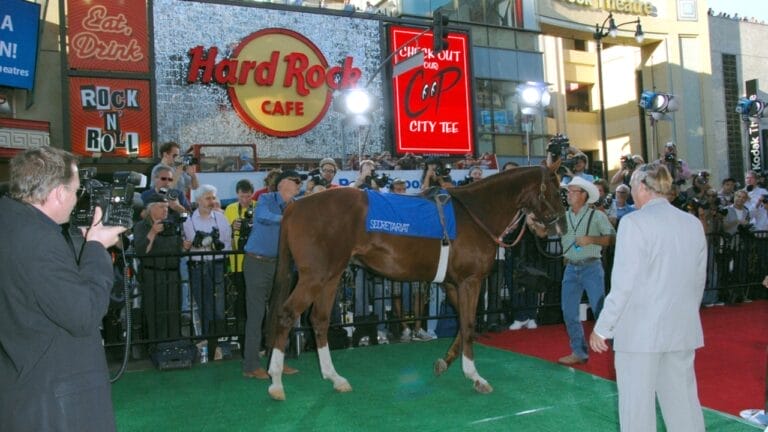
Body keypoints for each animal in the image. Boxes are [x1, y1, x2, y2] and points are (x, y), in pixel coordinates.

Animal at [265, 163, 566, 401]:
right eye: (555, 190)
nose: (560, 226)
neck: (476, 214)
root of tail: (295, 205)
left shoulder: (452, 283)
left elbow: (462, 323)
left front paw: (444, 363)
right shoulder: (470, 281)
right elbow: (469, 325)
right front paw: (475, 376)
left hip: (331, 275)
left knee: (319, 320)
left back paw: (334, 377)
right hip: (314, 276)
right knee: (286, 314)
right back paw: (276, 381)